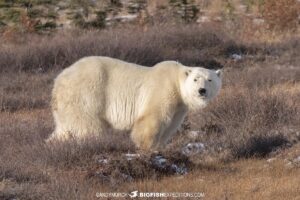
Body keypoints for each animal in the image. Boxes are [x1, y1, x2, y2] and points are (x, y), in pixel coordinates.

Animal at [48, 56, 221, 150]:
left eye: (210, 79)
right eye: (196, 79)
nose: (202, 91)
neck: (176, 82)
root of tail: (59, 80)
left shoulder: (179, 107)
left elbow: (170, 126)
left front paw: (160, 146)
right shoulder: (163, 89)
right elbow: (152, 119)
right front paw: (147, 147)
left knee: (64, 130)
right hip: (87, 94)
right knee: (88, 126)